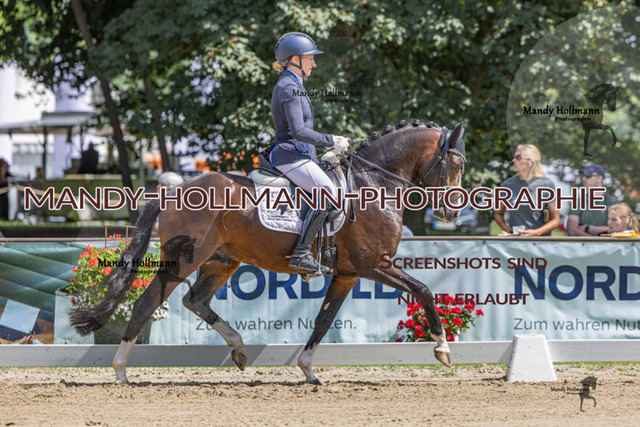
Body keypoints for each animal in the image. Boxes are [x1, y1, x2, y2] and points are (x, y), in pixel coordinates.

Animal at [70, 120, 466, 385]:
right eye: (457, 164)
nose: (451, 214)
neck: (373, 184)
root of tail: (174, 189)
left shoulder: (348, 274)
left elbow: (324, 320)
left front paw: (308, 370)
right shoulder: (375, 265)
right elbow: (424, 290)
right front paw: (443, 350)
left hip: (223, 261)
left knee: (195, 300)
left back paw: (239, 348)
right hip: (183, 260)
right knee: (146, 302)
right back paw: (120, 371)